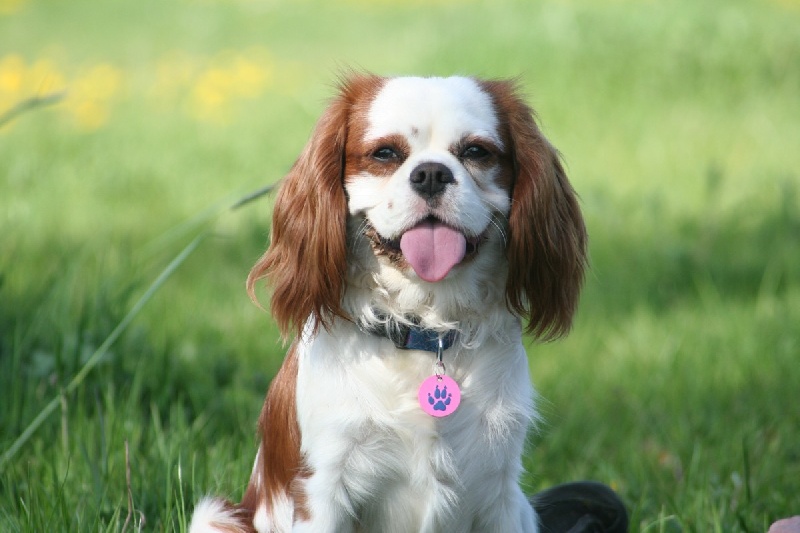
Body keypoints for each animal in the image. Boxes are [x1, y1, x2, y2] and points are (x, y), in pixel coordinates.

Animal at [188, 74, 588, 532]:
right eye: (385, 154)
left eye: (475, 152)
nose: (431, 173)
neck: (426, 327)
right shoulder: (323, 488)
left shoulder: (500, 495)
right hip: (214, 516)